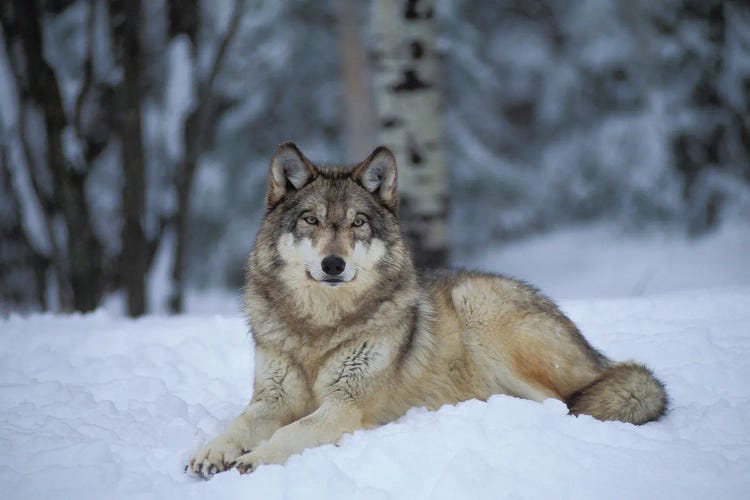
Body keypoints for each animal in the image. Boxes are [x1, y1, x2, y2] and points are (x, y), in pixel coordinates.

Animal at [188, 144, 668, 476]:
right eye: (311, 220)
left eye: (357, 223)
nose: (333, 264)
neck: (320, 326)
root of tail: (597, 355)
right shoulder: (272, 399)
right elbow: (238, 424)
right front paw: (211, 451)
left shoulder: (345, 406)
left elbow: (291, 431)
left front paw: (255, 457)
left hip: (481, 311)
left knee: (562, 403)